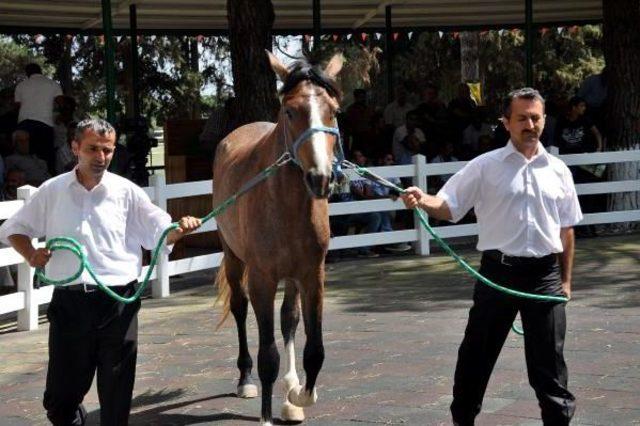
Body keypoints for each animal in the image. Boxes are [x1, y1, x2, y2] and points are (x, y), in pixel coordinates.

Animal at [211, 51, 342, 424]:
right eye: (290, 111)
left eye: (333, 111)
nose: (320, 179)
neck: (284, 204)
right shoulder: (262, 280)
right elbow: (267, 354)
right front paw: (267, 415)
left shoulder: (312, 275)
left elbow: (315, 350)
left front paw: (297, 395)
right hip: (234, 259)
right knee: (240, 310)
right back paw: (245, 380)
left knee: (289, 320)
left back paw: (290, 387)